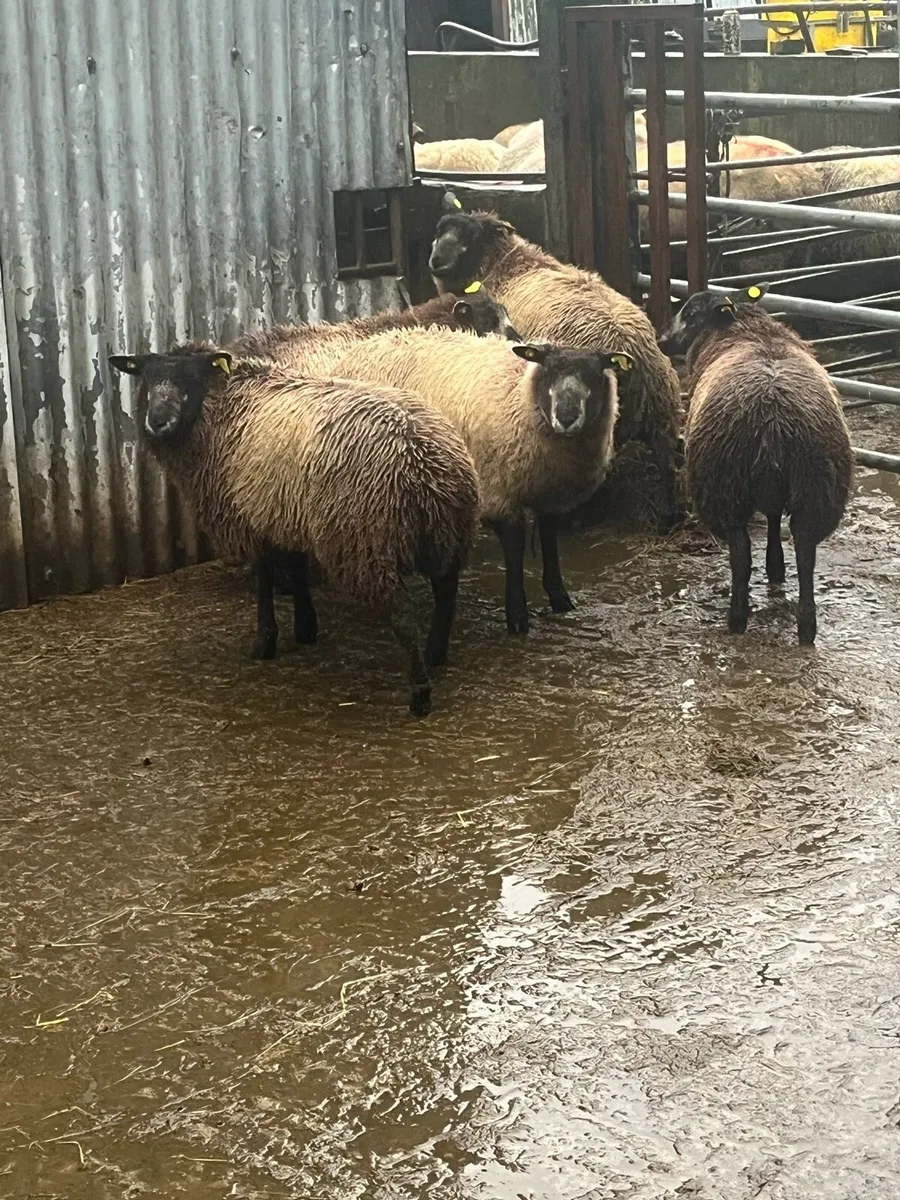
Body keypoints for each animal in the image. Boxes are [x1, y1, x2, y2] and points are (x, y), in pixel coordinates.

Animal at [108, 348, 479, 716]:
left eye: (190, 379)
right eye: (147, 377)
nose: (157, 422)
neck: (221, 409)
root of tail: (426, 460)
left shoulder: (252, 520)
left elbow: (264, 580)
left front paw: (265, 641)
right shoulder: (287, 515)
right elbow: (298, 571)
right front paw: (306, 628)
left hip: (369, 543)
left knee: (403, 615)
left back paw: (420, 692)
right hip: (447, 534)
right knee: (447, 593)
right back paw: (435, 653)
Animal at [325, 326, 632, 634]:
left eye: (595, 374)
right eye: (548, 369)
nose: (567, 418)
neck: (518, 396)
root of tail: (370, 341)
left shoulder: (550, 494)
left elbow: (549, 540)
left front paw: (560, 599)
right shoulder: (498, 493)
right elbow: (515, 548)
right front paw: (517, 617)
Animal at [428, 193, 684, 530]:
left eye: (469, 238)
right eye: (440, 229)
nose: (436, 262)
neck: (504, 264)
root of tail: (632, 349)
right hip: (662, 409)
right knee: (668, 463)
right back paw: (668, 517)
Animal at [658, 285, 852, 644]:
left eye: (689, 312)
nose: (661, 338)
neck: (749, 330)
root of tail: (773, 418)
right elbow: (774, 518)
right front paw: (775, 568)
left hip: (724, 483)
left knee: (740, 553)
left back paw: (737, 618)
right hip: (816, 487)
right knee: (806, 551)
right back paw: (806, 626)